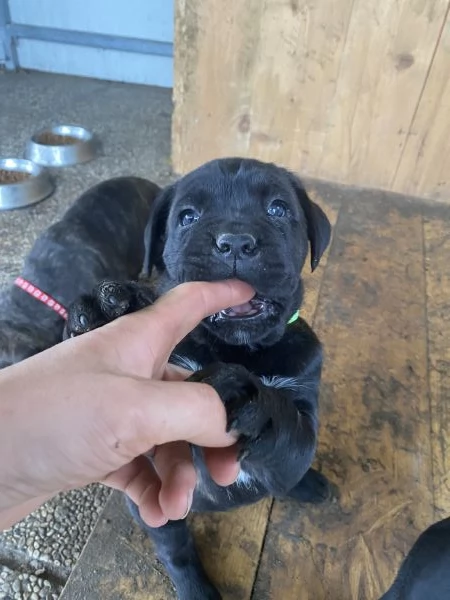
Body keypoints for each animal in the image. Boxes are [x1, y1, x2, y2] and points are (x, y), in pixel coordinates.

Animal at [67, 159, 334, 600]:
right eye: (188, 217)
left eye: (278, 209)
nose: (236, 242)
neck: (237, 348)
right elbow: (176, 550)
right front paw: (110, 317)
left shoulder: (303, 400)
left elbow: (294, 437)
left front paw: (255, 404)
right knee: (176, 548)